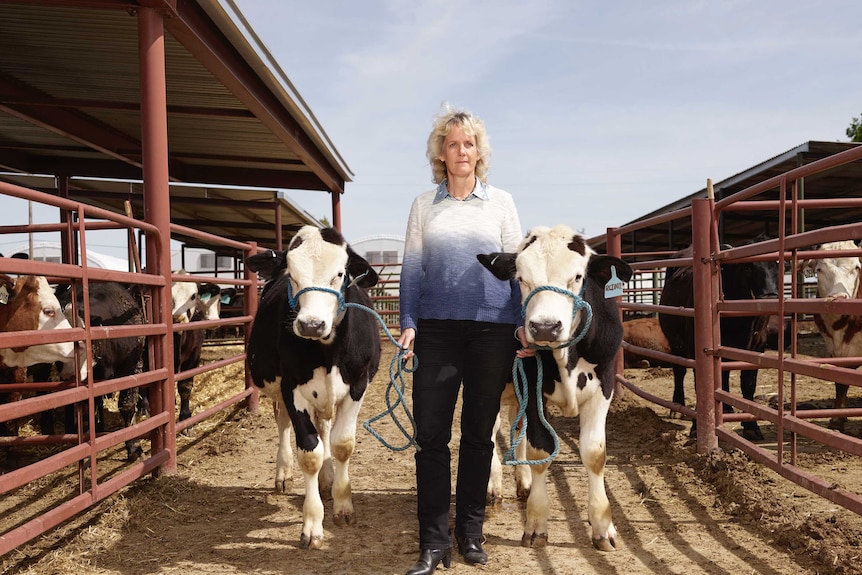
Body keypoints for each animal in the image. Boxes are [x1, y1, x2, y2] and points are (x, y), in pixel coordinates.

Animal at [243, 227, 378, 552]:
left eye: (340, 274)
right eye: (291, 274)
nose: (311, 325)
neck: (327, 352)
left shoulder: (358, 383)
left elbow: (342, 444)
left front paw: (343, 504)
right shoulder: (292, 388)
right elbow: (309, 452)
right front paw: (312, 525)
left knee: (325, 426)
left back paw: (328, 479)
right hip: (278, 390)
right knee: (283, 424)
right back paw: (283, 472)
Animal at [660, 235, 784, 440]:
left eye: (777, 264)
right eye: (748, 267)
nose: (770, 297)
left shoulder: (757, 345)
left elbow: (748, 384)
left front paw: (752, 426)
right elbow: (701, 385)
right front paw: (696, 427)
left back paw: (726, 407)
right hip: (675, 342)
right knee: (679, 370)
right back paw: (677, 405)